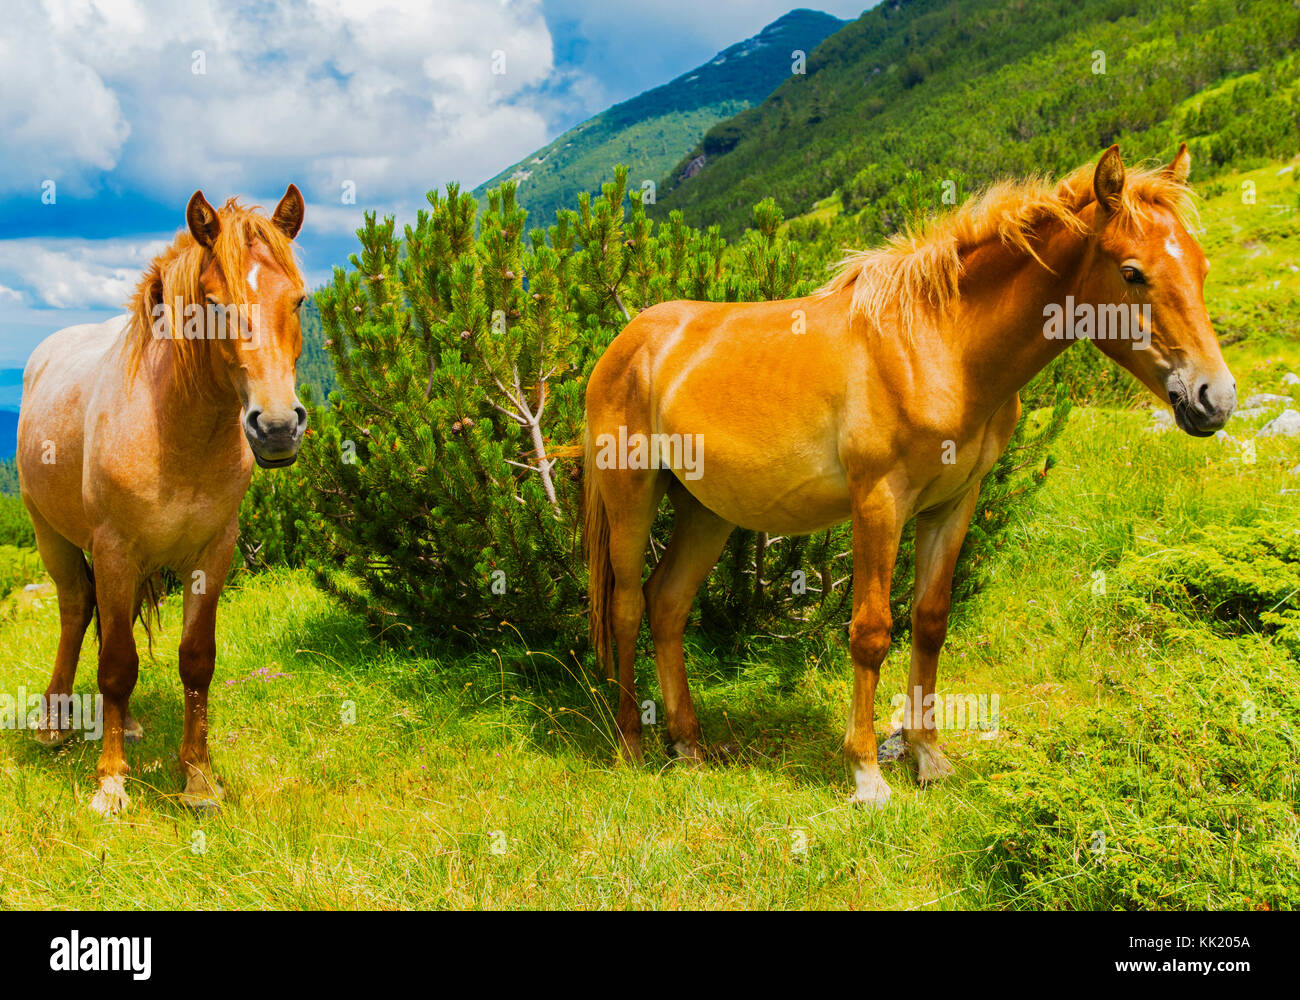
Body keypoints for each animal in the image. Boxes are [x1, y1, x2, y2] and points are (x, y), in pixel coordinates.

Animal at [17, 186, 308, 816]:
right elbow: (116, 665)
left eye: (298, 300)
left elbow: (196, 659)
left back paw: (123, 726)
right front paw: (111, 781)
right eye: (213, 304)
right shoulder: (113, 550)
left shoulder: (213, 552)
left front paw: (197, 778)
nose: (276, 427)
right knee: (76, 611)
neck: (174, 427)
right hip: (53, 537)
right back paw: (54, 723)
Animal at [583, 144, 1235, 806]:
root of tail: (625, 342)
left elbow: (929, 622)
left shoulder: (953, 503)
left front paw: (927, 756)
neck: (937, 347)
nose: (1215, 399)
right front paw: (866, 774)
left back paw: (687, 745)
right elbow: (872, 633)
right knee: (627, 608)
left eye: (1202, 267)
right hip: (632, 497)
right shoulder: (880, 502)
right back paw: (632, 744)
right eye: (1132, 273)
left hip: (706, 511)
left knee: (668, 605)